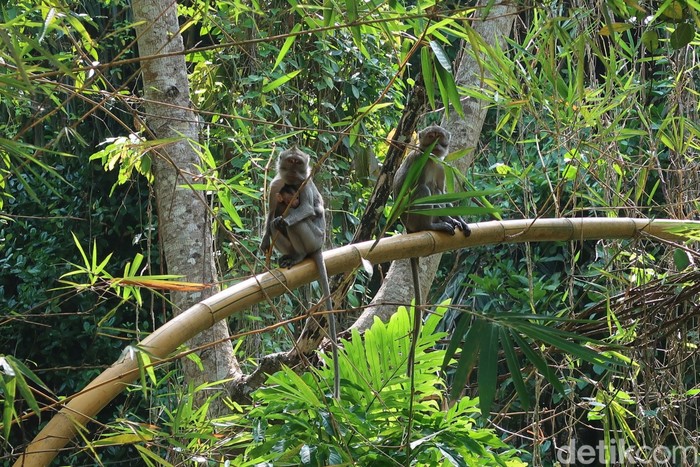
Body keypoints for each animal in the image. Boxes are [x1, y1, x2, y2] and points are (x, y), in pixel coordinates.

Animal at [260, 148, 342, 400]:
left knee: (295, 224)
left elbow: (307, 209)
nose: (296, 170)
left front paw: (288, 217)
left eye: (299, 163)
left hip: (314, 237)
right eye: (291, 161)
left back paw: (299, 253)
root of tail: (319, 247)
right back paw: (290, 255)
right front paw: (264, 241)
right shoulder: (275, 186)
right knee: (275, 223)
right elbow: (270, 213)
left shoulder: (304, 185)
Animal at [392, 125, 474, 376]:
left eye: (440, 137)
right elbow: (410, 189)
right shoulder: (418, 160)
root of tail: (409, 229)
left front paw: (459, 219)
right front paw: (448, 220)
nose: (436, 144)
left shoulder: (440, 165)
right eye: (431, 137)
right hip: (413, 219)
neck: (430, 159)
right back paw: (434, 225)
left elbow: (443, 192)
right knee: (421, 190)